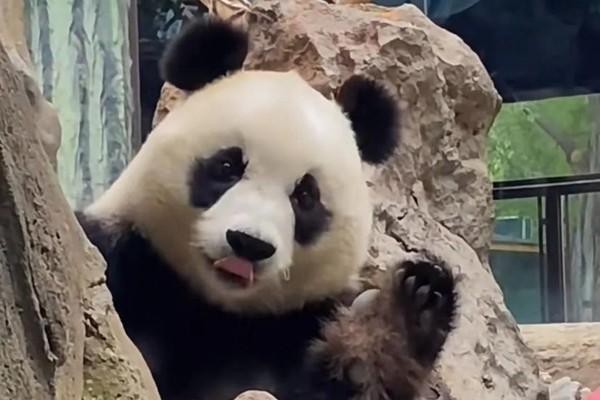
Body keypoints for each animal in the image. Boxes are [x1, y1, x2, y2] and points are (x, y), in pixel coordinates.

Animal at [76, 14, 460, 400]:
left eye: (305, 196)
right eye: (227, 166)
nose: (249, 244)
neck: (215, 309)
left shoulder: (297, 325)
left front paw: (410, 309)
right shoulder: (128, 259)